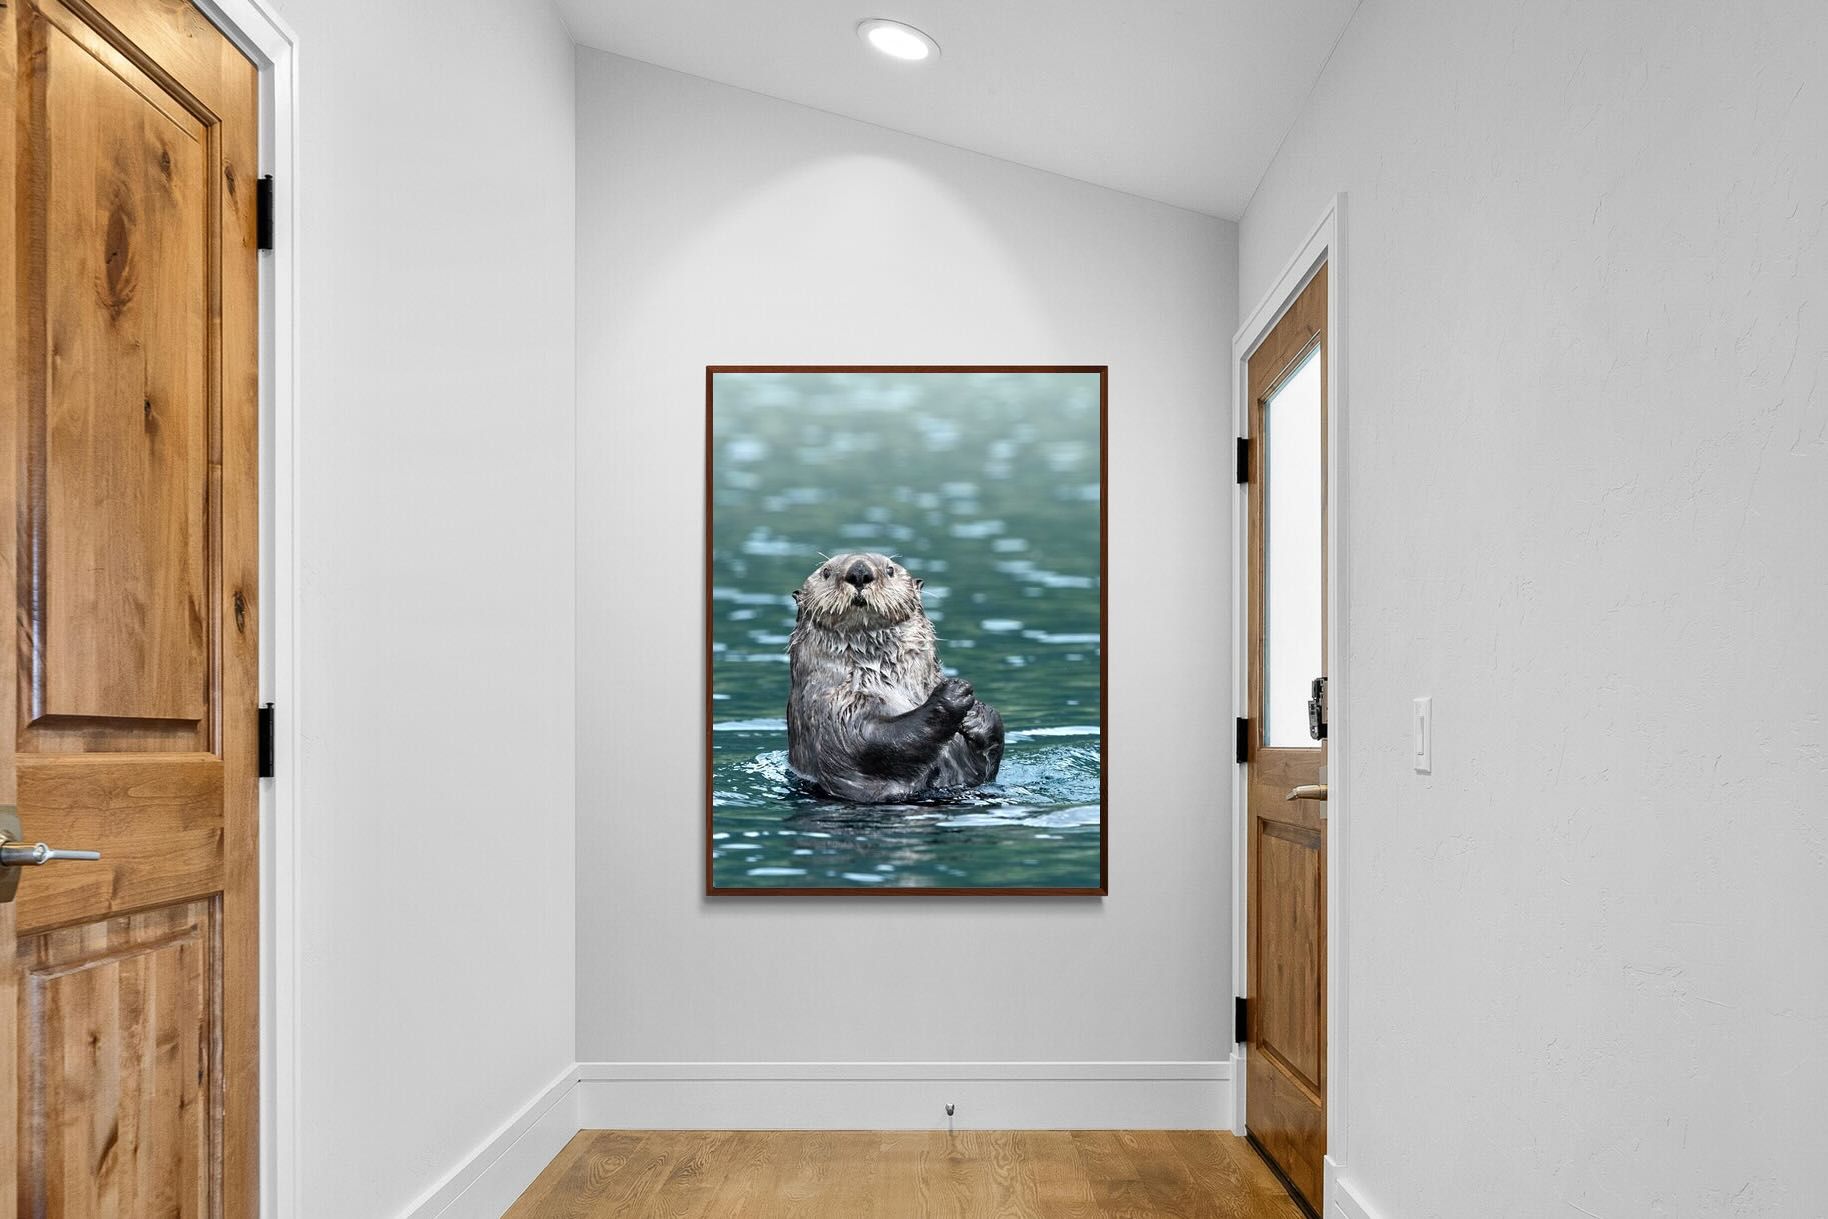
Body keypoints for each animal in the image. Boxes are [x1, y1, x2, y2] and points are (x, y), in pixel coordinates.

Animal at [786, 552, 1004, 803]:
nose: (859, 572)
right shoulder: (831, 709)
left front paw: (977, 714)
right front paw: (953, 692)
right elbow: (871, 741)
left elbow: (985, 768)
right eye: (826, 572)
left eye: (889, 570)